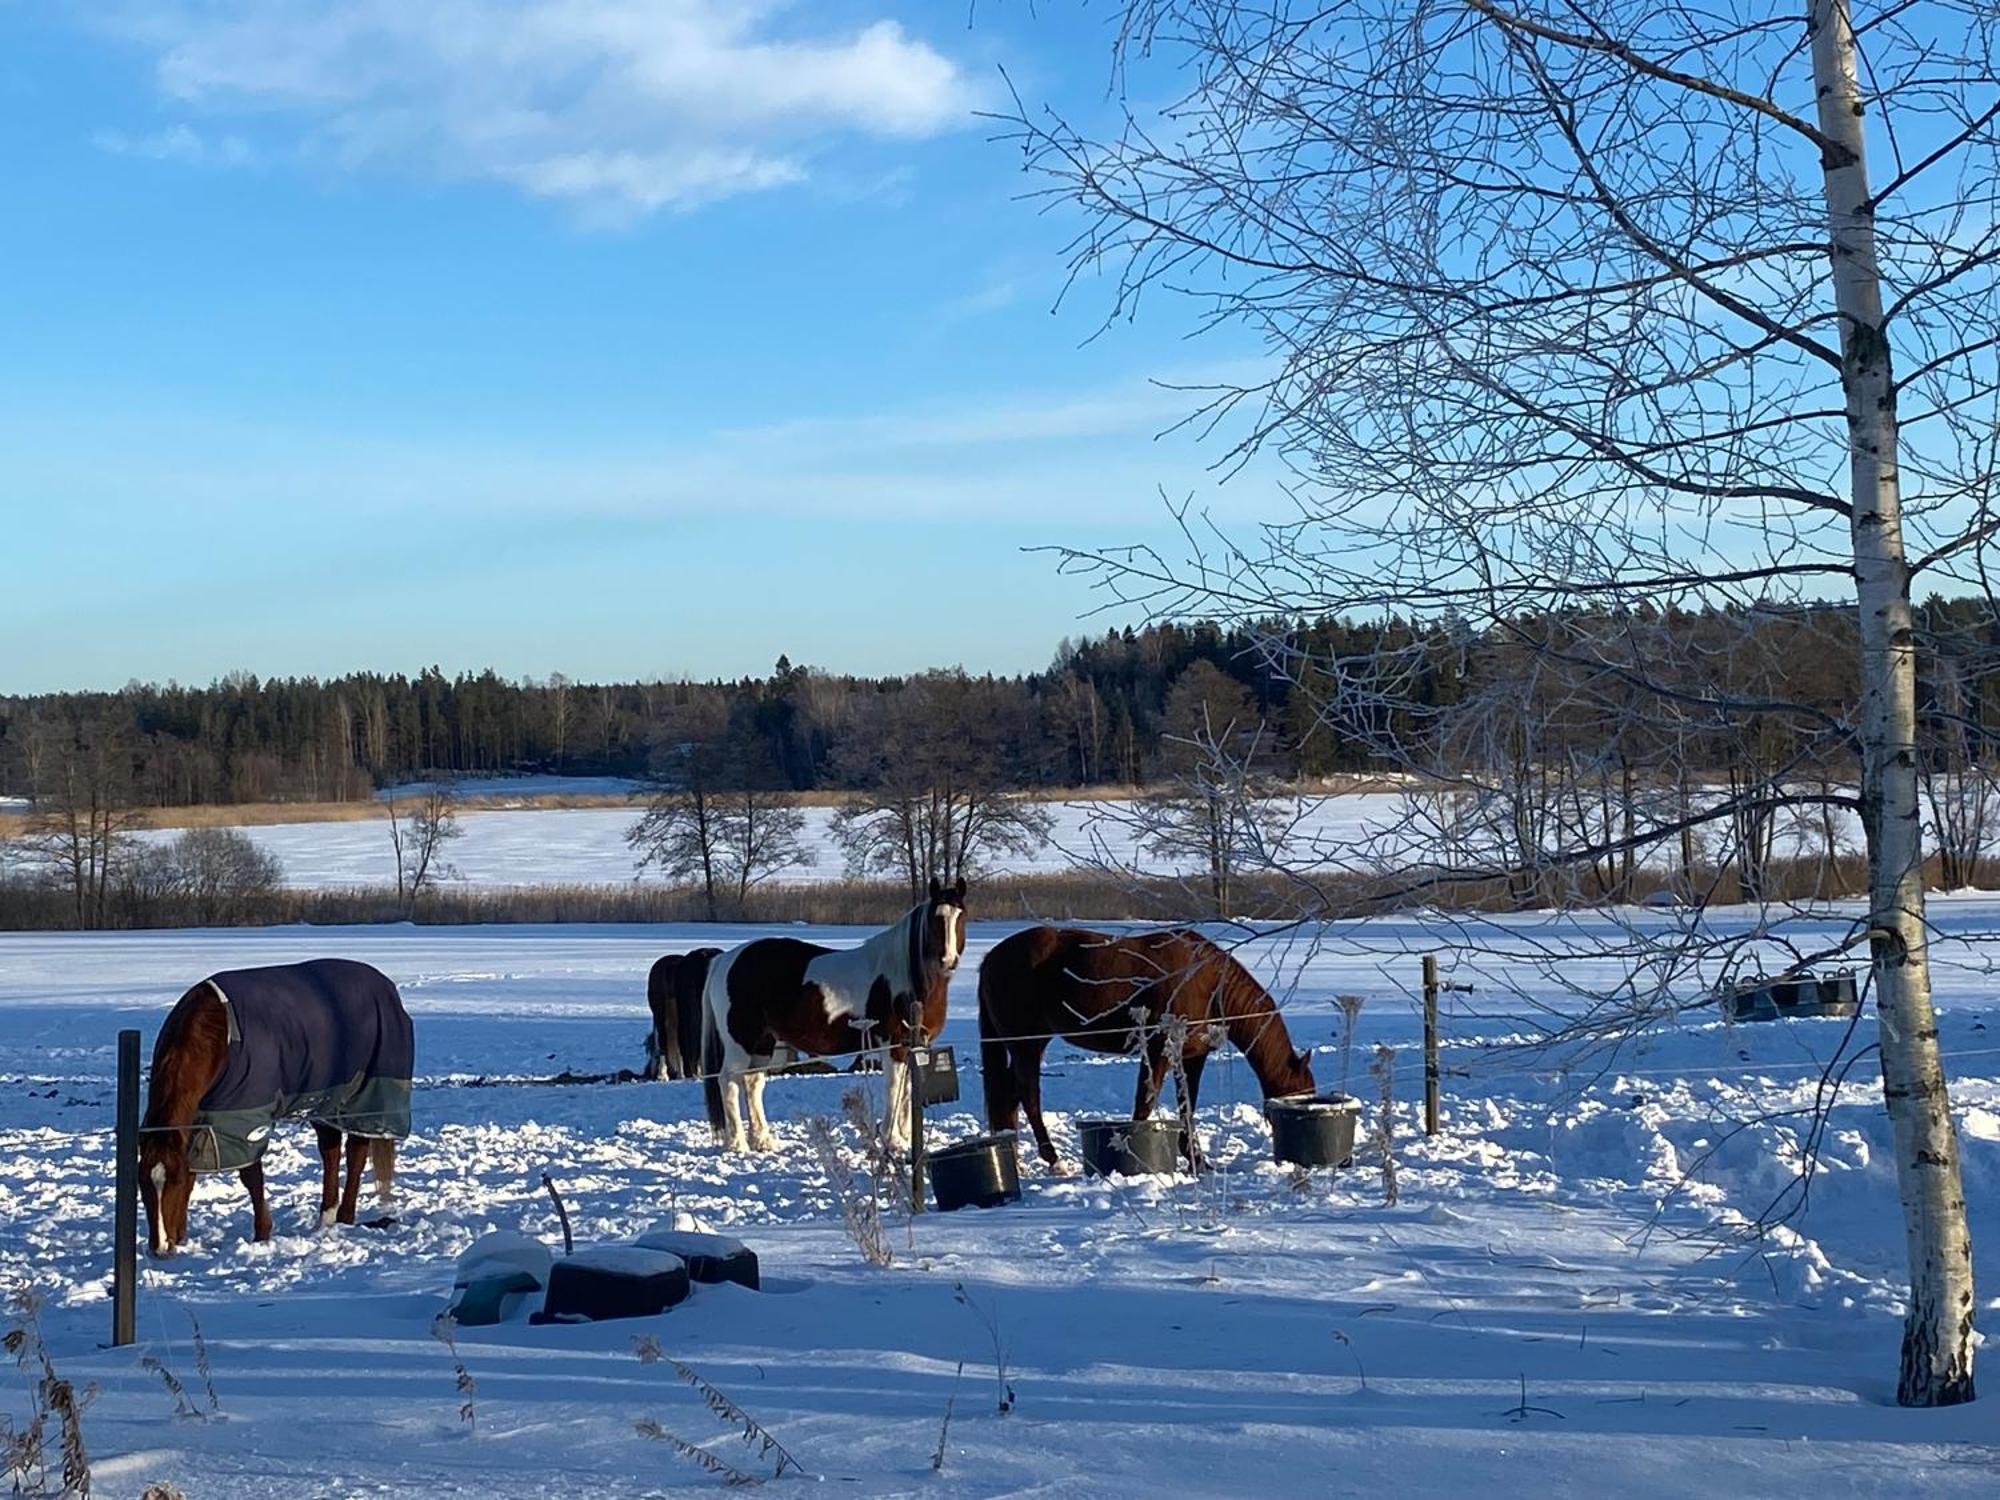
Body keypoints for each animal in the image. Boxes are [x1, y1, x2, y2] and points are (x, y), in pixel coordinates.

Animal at [138, 964, 414, 1256]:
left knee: (355, 1153)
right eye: (141, 1181)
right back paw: (325, 1219)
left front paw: (262, 1234)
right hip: (325, 1101)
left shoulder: (245, 1121)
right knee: (330, 1150)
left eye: (174, 1182)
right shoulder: (203, 1121)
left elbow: (251, 1177)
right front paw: (181, 1237)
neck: (218, 1036)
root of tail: (387, 986)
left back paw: (345, 1217)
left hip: (363, 1101)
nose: (159, 1247)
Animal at [704, 876, 968, 1160]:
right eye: (936, 918)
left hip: (763, 1041)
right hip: (740, 1042)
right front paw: (893, 1140)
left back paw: (763, 1141)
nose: (948, 960)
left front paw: (906, 1138)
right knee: (729, 1082)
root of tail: (725, 959)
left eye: (961, 916)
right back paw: (738, 1145)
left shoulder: (913, 1045)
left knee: (752, 1082)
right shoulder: (894, 1044)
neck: (905, 976)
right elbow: (894, 1087)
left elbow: (908, 1091)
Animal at [980, 928, 1320, 1176]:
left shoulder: (1191, 1057)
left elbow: (1187, 1105)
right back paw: (1054, 1160)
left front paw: (1197, 1161)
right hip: (1026, 1043)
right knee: (1028, 1095)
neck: (1207, 983)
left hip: (1027, 1044)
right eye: (1300, 1092)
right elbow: (1145, 1101)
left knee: (1009, 1096)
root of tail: (991, 959)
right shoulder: (1160, 1051)